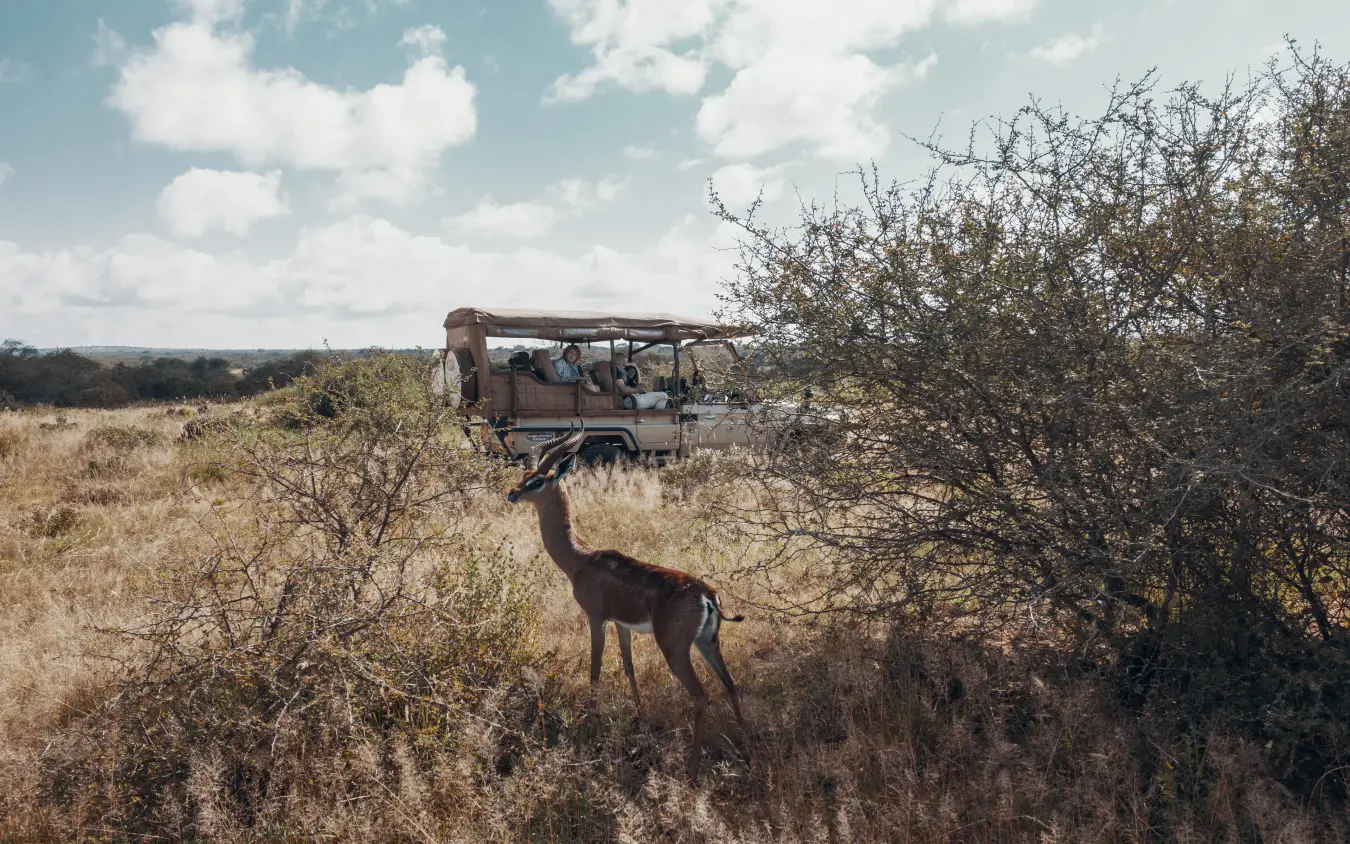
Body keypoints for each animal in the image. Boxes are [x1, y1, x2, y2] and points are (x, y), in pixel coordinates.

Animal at [506, 423, 747, 781]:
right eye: (524, 474)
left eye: (537, 481)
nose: (512, 494)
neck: (581, 559)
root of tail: (706, 594)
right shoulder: (622, 624)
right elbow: (629, 667)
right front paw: (641, 718)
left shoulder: (596, 618)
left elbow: (595, 669)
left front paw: (588, 726)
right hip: (708, 642)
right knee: (730, 684)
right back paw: (747, 747)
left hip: (675, 649)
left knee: (701, 696)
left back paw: (691, 771)